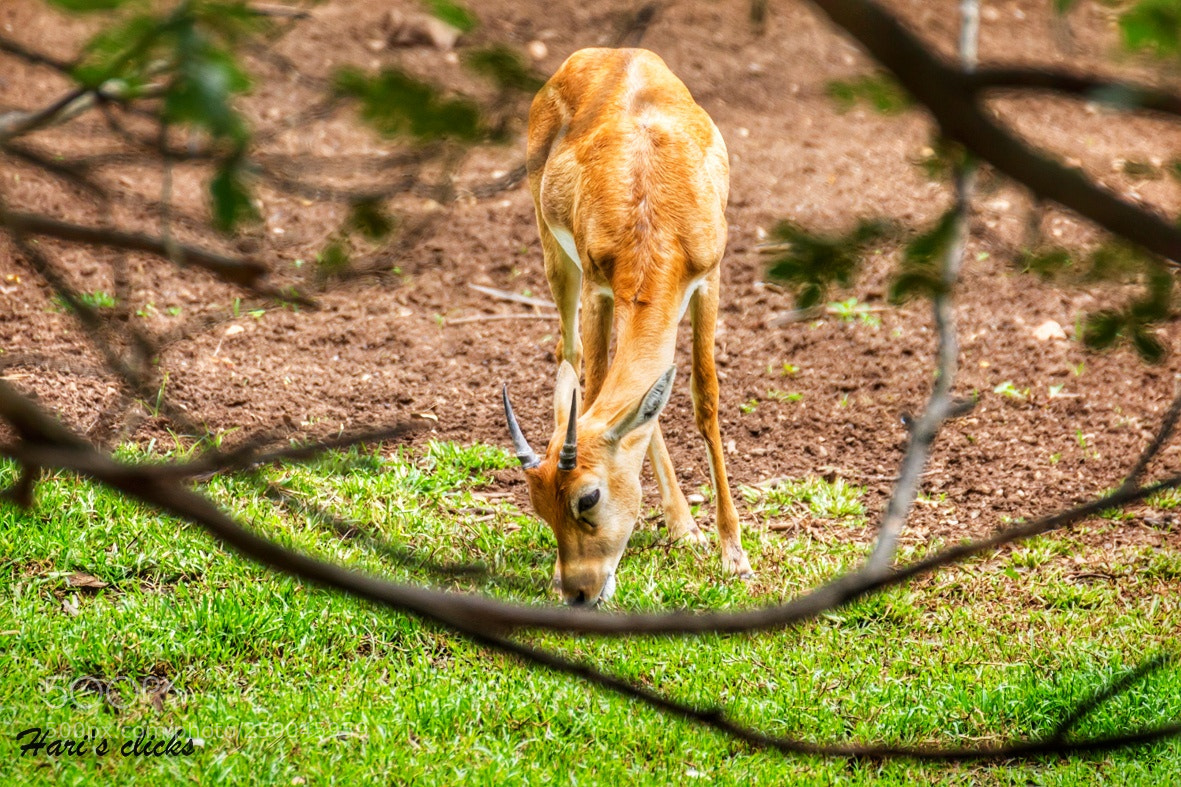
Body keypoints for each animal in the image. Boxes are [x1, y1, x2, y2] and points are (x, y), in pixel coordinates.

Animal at [502, 48, 752, 606]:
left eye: (588, 497)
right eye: (538, 507)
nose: (578, 592)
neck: (653, 214)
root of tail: (603, 53)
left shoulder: (709, 280)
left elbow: (705, 397)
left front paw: (734, 555)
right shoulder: (600, 289)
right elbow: (599, 388)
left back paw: (687, 529)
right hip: (556, 256)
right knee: (569, 354)